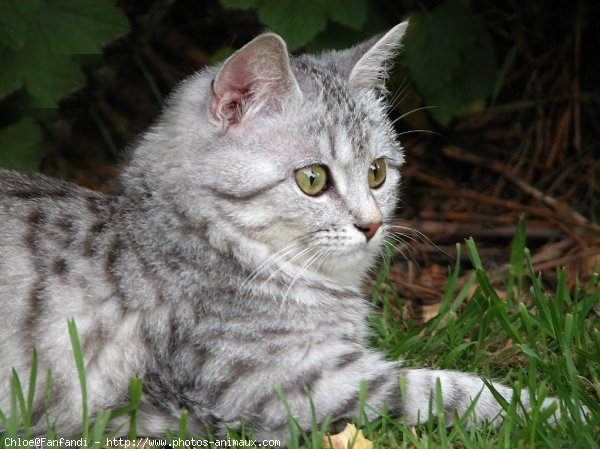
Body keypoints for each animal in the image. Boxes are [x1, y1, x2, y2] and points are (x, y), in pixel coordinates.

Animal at [0, 21, 572, 440]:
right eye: (312, 179)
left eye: (378, 173)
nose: (372, 224)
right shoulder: (285, 387)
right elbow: (449, 391)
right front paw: (565, 411)